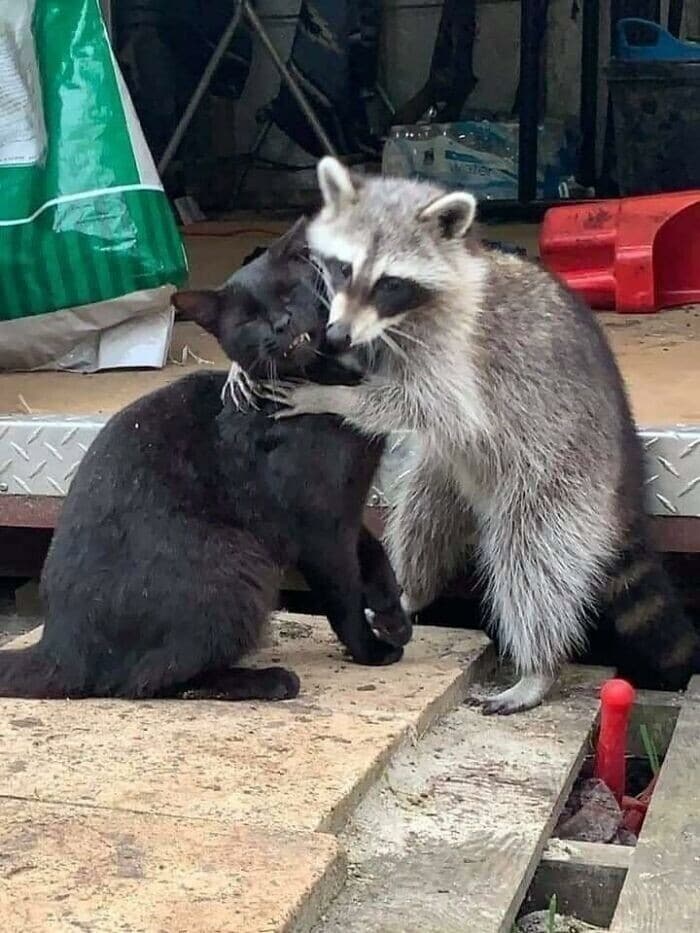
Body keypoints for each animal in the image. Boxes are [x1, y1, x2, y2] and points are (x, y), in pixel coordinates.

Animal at [268, 156, 699, 714]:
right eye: (343, 267)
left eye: (389, 283)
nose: (338, 335)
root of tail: (623, 456)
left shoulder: (457, 353)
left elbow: (424, 403)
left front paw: (329, 397)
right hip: (451, 471)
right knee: (422, 519)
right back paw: (408, 590)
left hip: (561, 476)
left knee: (533, 560)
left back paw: (538, 666)